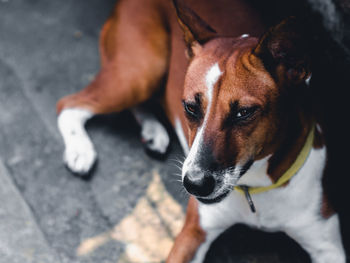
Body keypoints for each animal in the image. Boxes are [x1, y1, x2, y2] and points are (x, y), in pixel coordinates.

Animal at [56, 0, 346, 262]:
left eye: (244, 112)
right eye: (190, 107)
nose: (194, 184)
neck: (257, 189)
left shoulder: (327, 245)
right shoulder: (193, 233)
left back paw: (153, 131)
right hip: (140, 72)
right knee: (68, 104)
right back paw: (81, 151)